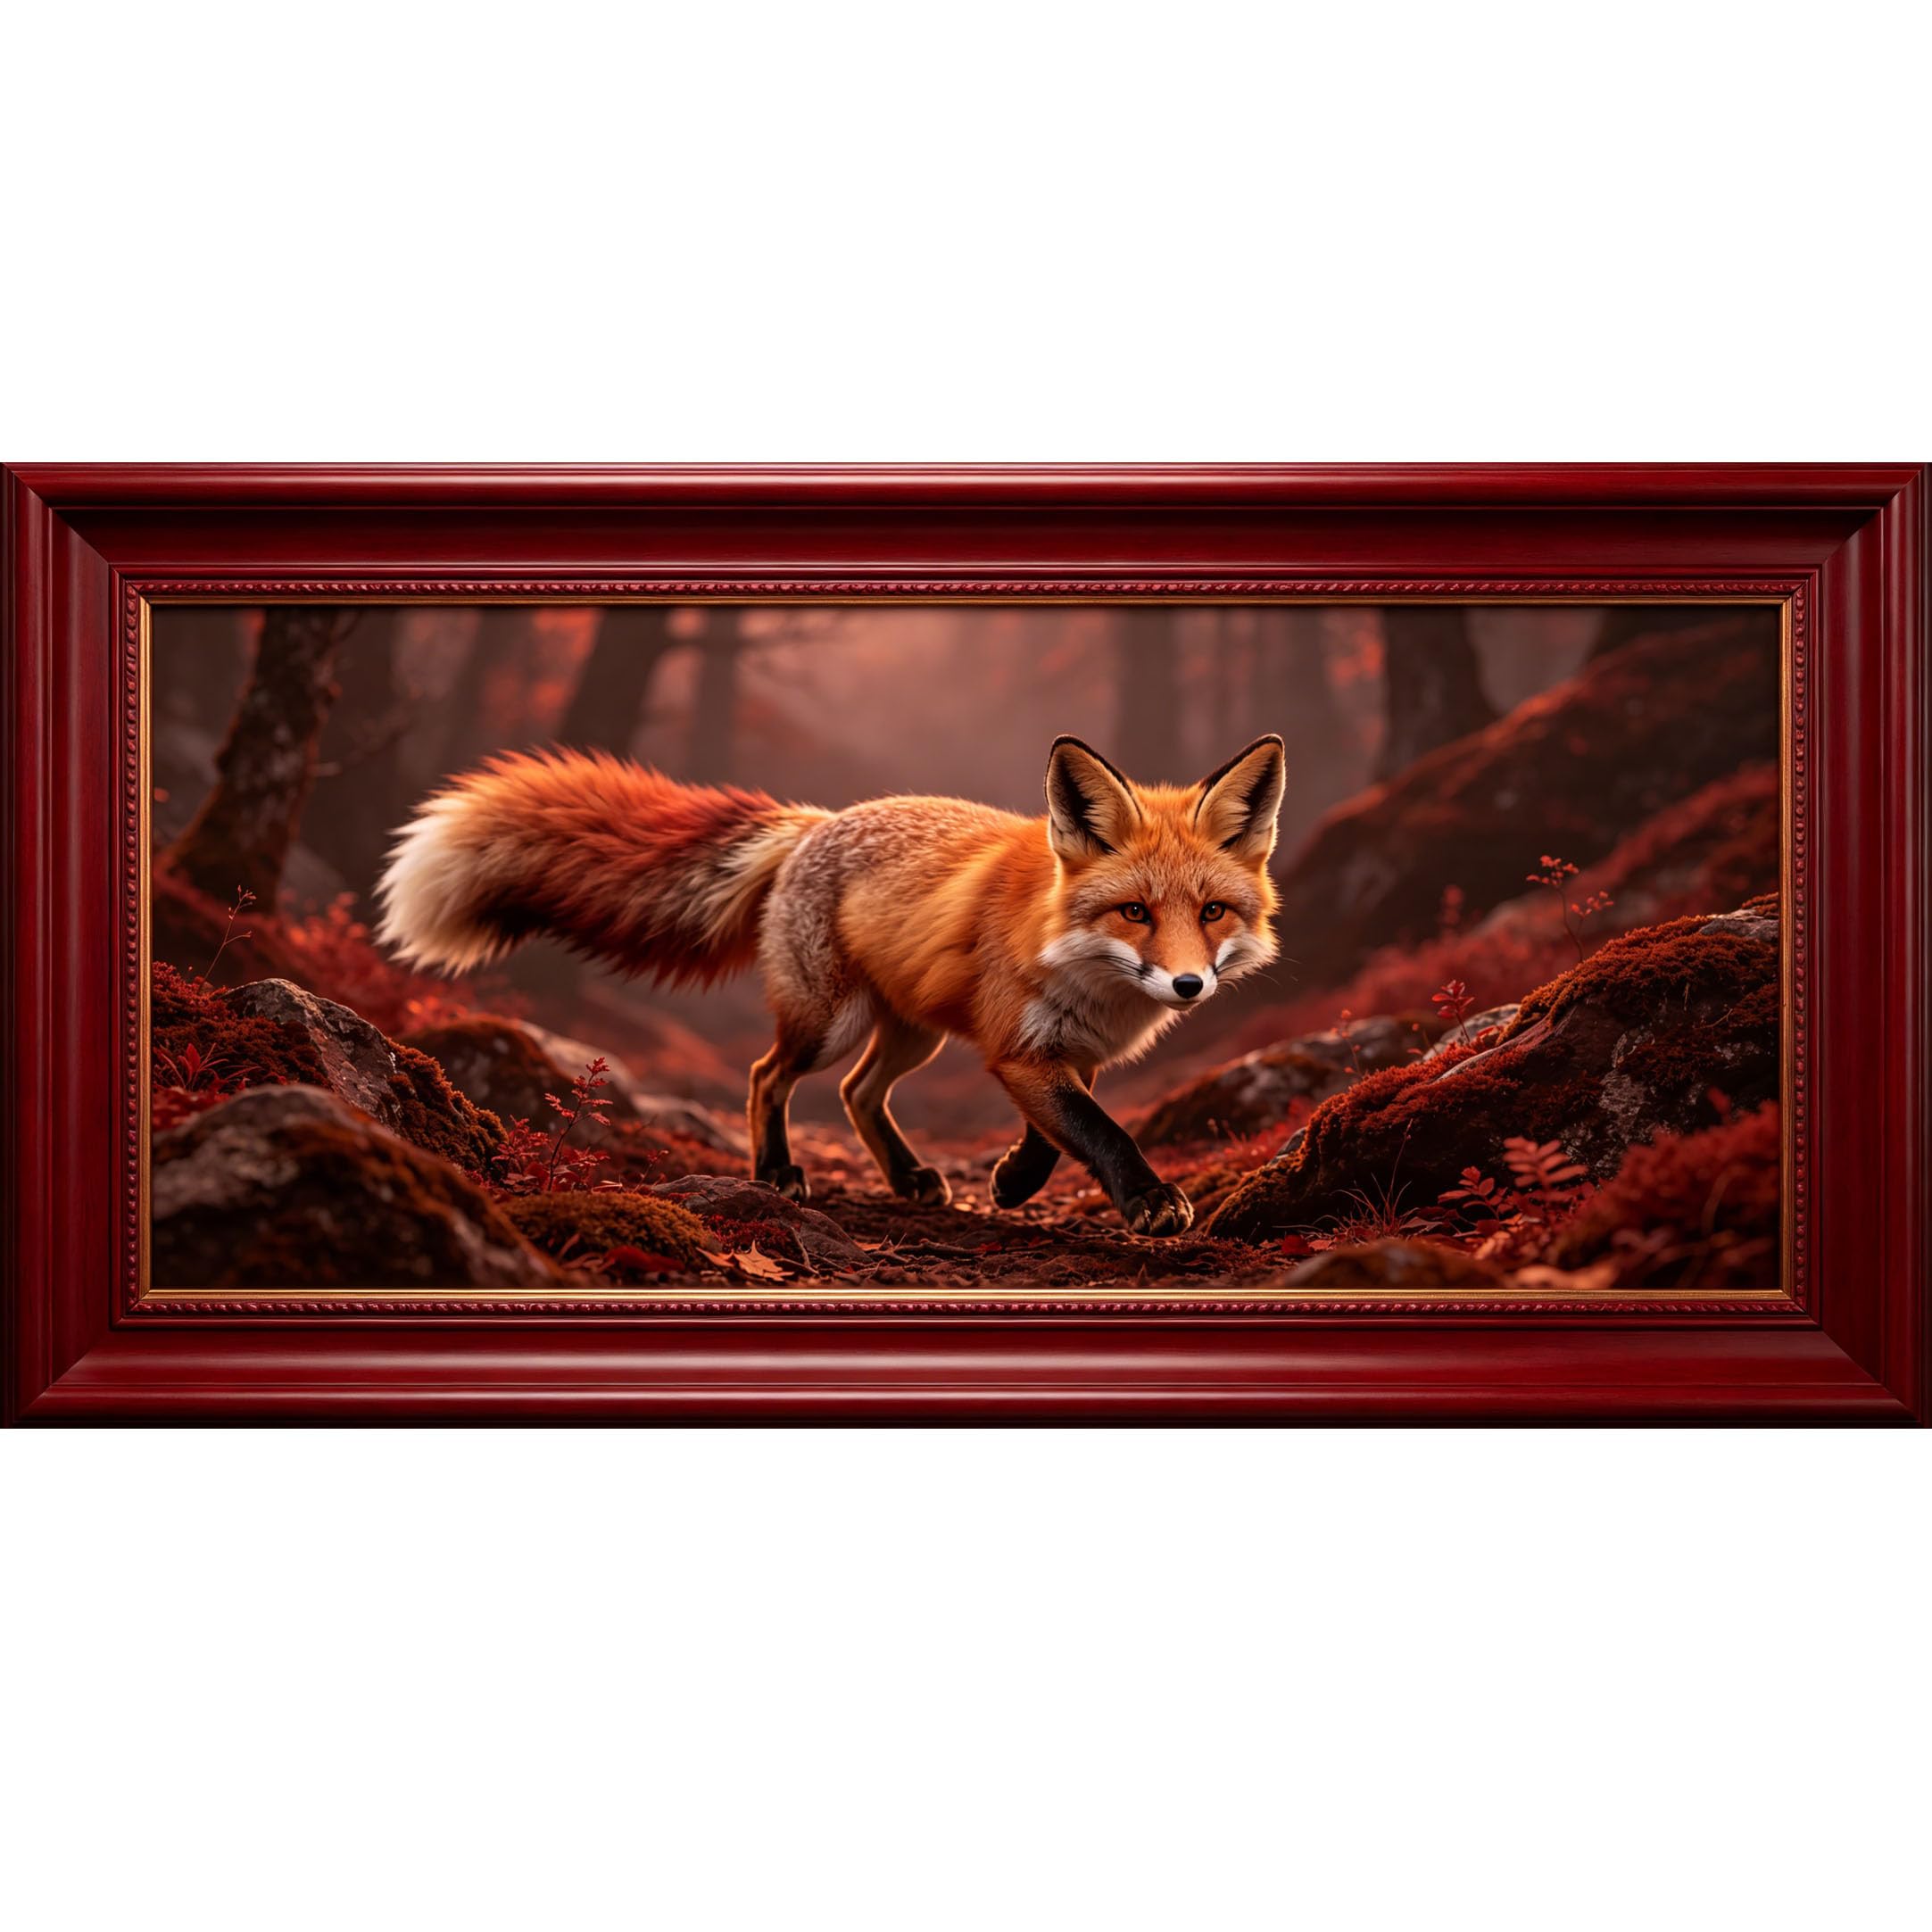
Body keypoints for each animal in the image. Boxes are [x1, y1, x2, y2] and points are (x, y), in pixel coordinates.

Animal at [376, 732, 1285, 1236]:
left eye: (1211, 911)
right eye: (1134, 911)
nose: (1187, 985)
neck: (1086, 969)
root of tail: (815, 821)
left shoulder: (1067, 1048)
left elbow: (1061, 1129)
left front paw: (1014, 1181)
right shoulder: (1020, 1047)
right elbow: (1099, 1131)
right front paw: (1148, 1199)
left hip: (911, 1032)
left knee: (856, 1092)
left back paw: (908, 1177)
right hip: (831, 1022)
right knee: (766, 1075)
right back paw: (776, 1171)